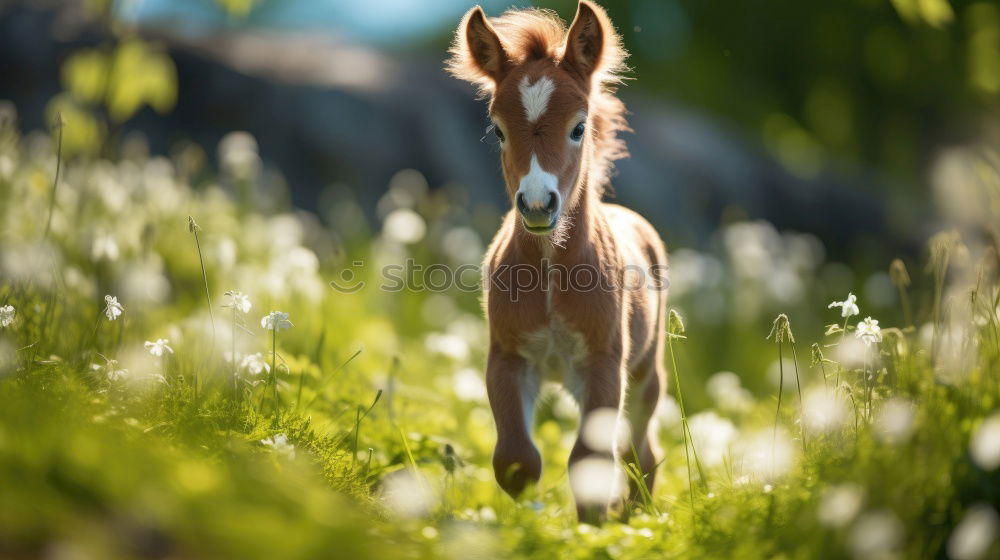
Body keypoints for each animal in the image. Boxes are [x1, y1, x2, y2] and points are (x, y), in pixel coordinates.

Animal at [448, 2, 668, 524]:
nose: (536, 204)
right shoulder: (508, 358)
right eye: (498, 130)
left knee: (641, 452)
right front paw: (534, 527)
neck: (550, 271)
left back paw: (634, 518)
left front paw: (593, 530)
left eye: (579, 127)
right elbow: (516, 461)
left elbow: (591, 461)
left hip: (645, 375)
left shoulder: (604, 362)